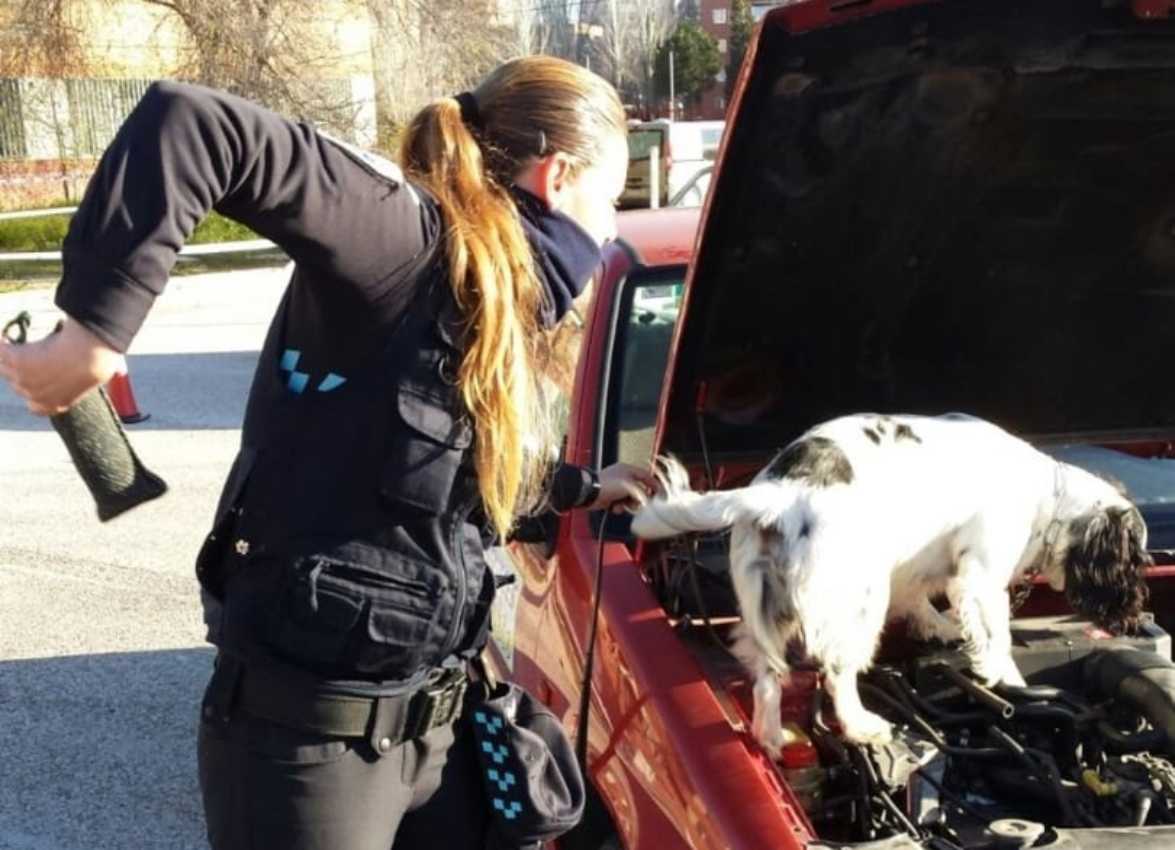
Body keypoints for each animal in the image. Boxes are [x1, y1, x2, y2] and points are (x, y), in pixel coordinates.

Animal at [629, 413, 1151, 752]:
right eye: (1136, 561)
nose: (1134, 616)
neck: (1048, 496)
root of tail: (781, 493)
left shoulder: (914, 566)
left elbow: (920, 601)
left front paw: (939, 628)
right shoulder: (981, 582)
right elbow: (996, 642)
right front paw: (1011, 684)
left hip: (766, 610)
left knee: (766, 680)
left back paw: (773, 738)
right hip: (859, 602)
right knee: (837, 672)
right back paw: (861, 726)